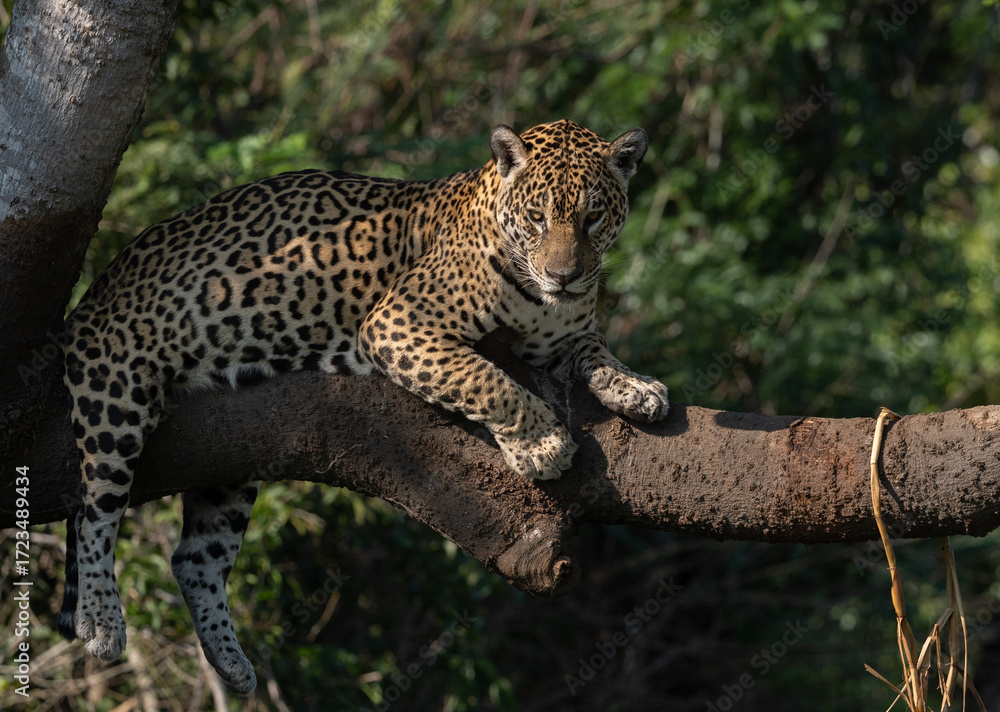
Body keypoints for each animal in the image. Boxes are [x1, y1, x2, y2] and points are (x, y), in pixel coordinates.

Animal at [57, 119, 670, 696]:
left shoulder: (561, 339)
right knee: (95, 512)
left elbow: (597, 350)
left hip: (230, 459)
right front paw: (541, 445)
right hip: (116, 395)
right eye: (538, 217)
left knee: (194, 558)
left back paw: (231, 663)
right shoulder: (399, 322)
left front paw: (637, 387)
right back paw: (102, 622)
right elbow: (488, 380)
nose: (565, 276)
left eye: (592, 217)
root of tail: (89, 298)